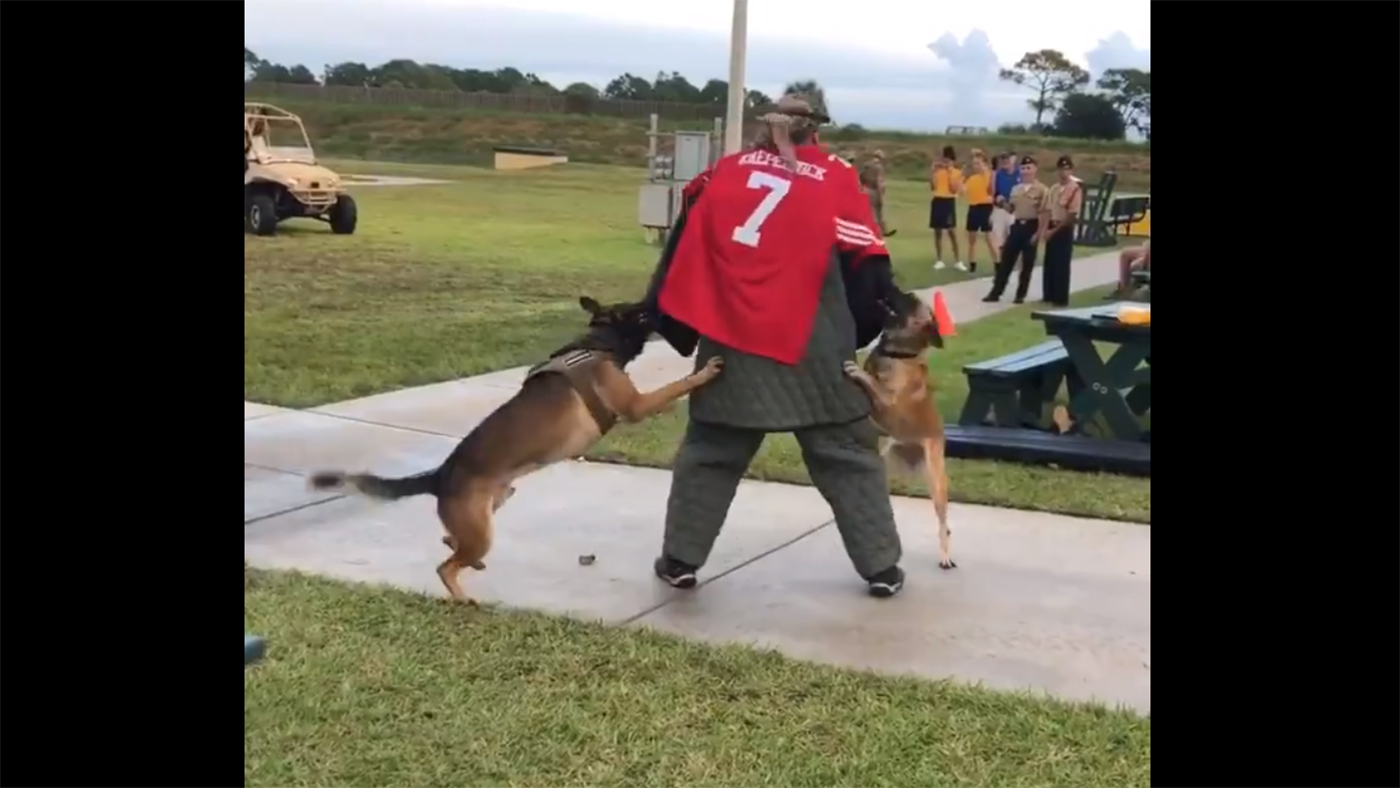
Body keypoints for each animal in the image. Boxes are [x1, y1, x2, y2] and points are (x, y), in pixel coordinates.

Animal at [306, 296, 722, 604]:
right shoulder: (635, 405)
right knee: (446, 566)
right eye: (641, 313)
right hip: (482, 529)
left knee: (450, 544)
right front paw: (702, 373)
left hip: (495, 504)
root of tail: (439, 476)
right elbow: (673, 386)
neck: (597, 344)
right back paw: (463, 598)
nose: (660, 305)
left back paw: (465, 562)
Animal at [834, 289, 957, 568]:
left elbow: (873, 384)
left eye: (913, 303)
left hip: (936, 481)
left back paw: (945, 555)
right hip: (887, 460)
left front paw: (859, 373)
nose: (904, 291)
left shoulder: (889, 402)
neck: (897, 354)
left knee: (943, 523)